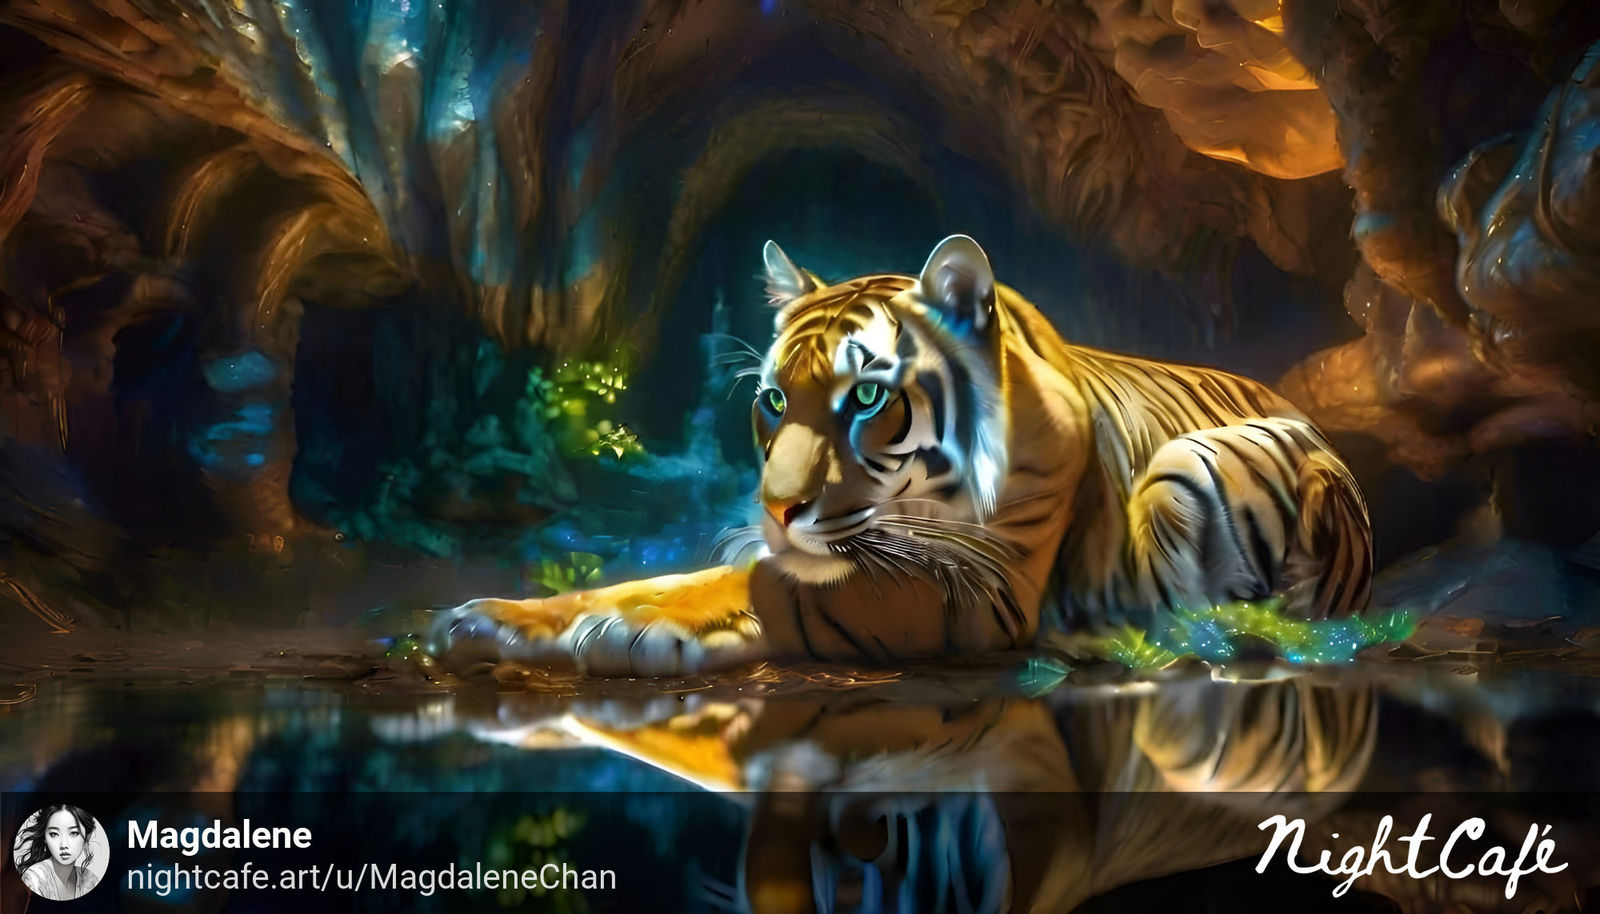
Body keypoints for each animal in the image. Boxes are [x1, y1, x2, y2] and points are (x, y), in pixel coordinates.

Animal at [433, 235, 1372, 676]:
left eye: (866, 398)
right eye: (775, 401)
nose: (776, 510)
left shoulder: (980, 591)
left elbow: (775, 591)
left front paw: (634, 627)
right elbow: (704, 574)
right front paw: (492, 619)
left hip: (1187, 466)